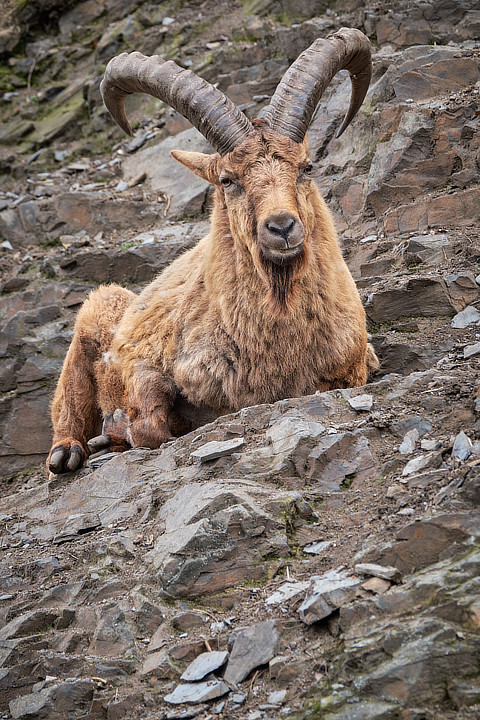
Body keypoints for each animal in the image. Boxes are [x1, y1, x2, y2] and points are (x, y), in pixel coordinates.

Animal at [48, 28, 378, 476]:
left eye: (306, 167)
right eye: (227, 179)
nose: (282, 227)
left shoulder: (353, 369)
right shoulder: (143, 359)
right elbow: (149, 423)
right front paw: (121, 427)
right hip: (93, 321)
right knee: (66, 408)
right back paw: (71, 451)